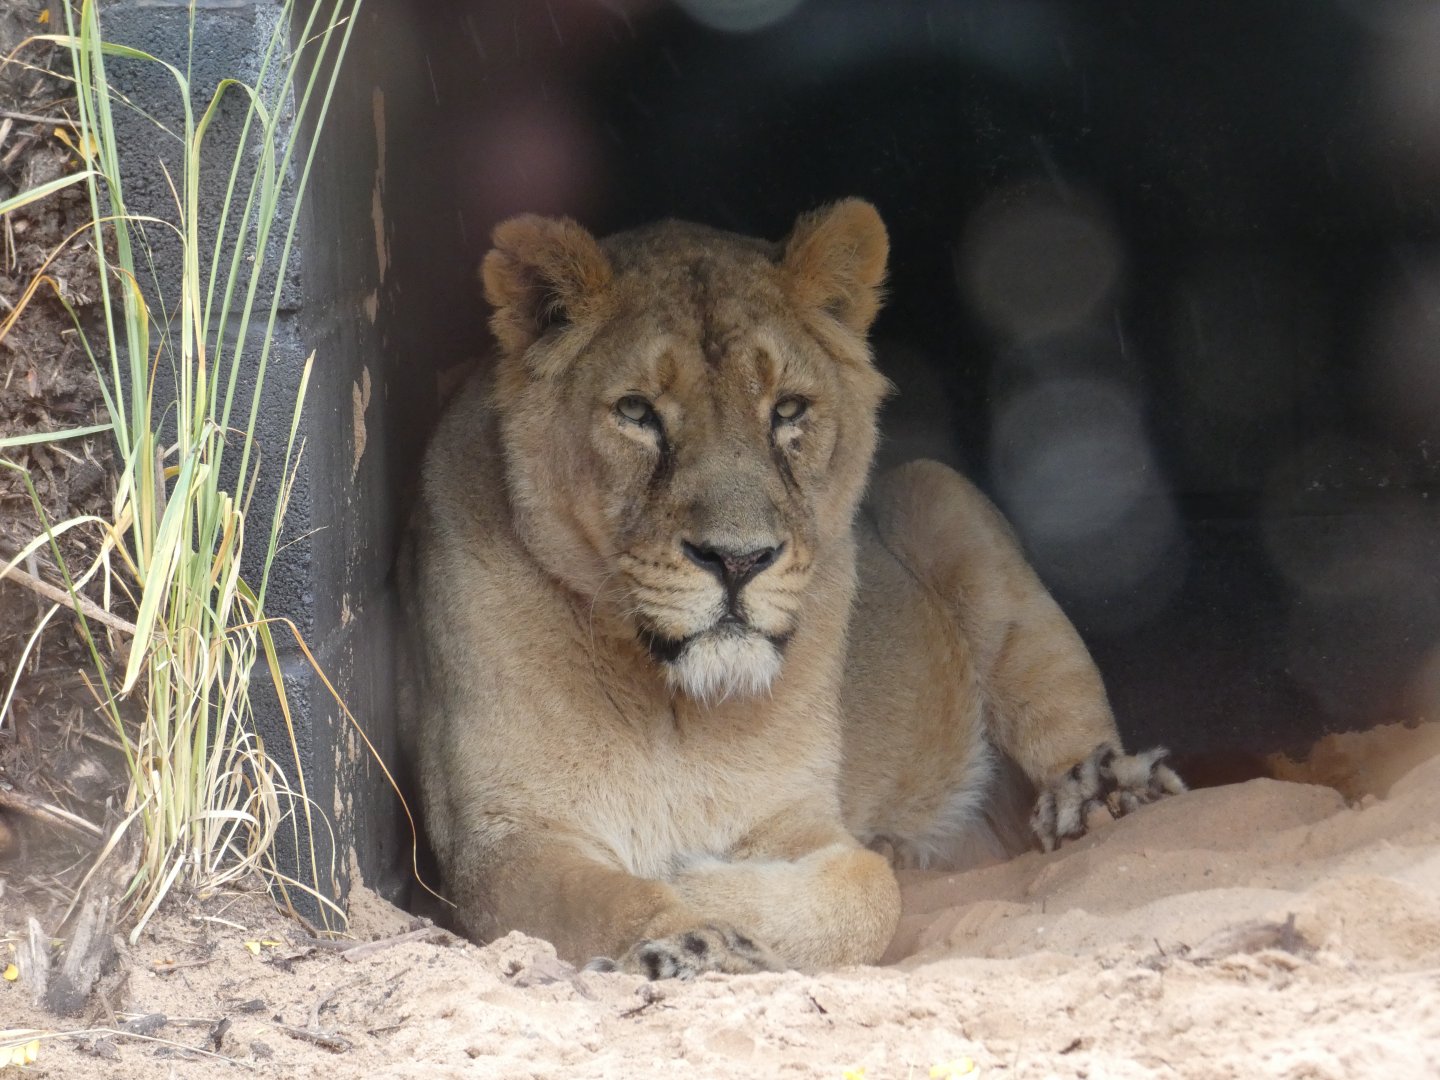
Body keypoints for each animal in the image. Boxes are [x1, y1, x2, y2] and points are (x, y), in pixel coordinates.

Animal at [397, 199, 1184, 979]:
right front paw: (688, 935)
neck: (670, 705)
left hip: (937, 493)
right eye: (637, 412)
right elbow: (609, 896)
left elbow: (865, 889)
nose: (738, 560)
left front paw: (701, 885)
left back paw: (1102, 791)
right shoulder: (497, 843)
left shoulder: (793, 814)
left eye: (788, 410)